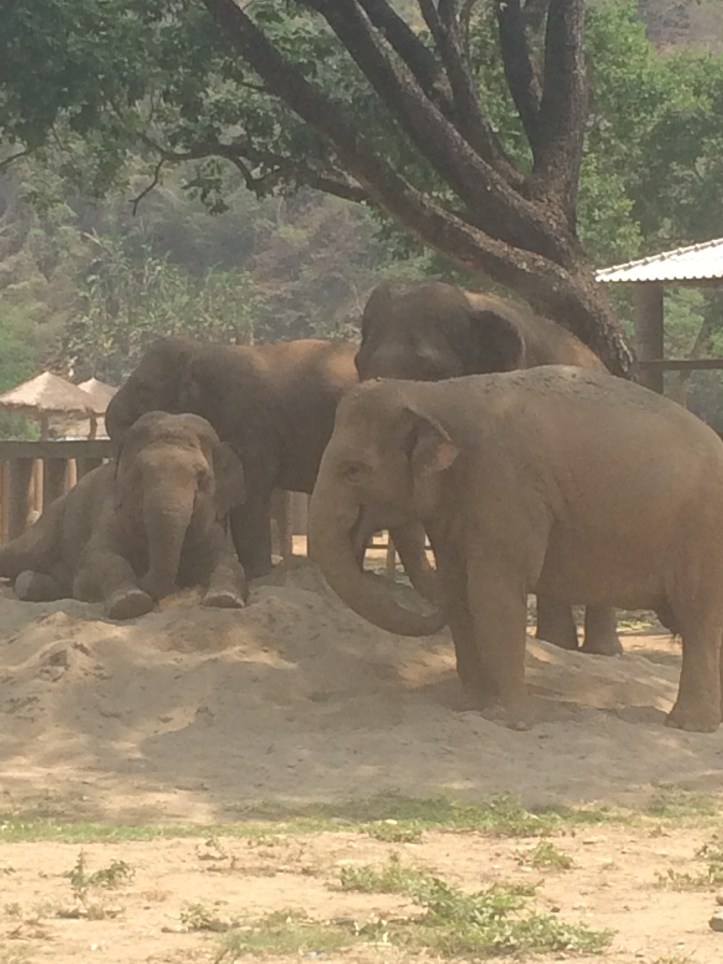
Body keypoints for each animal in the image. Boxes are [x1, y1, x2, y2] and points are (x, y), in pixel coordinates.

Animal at [0, 411, 247, 619]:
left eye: (202, 478)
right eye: (139, 474)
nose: (144, 577)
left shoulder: (214, 525)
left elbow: (228, 561)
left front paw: (224, 600)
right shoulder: (110, 513)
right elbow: (99, 557)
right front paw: (129, 604)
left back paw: (31, 584)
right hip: (52, 520)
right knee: (21, 552)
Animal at [308, 366, 723, 733]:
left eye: (354, 470)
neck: (431, 392)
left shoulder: (506, 487)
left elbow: (492, 593)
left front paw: (508, 720)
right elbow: (458, 588)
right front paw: (471, 706)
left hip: (704, 534)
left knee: (698, 617)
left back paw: (688, 724)